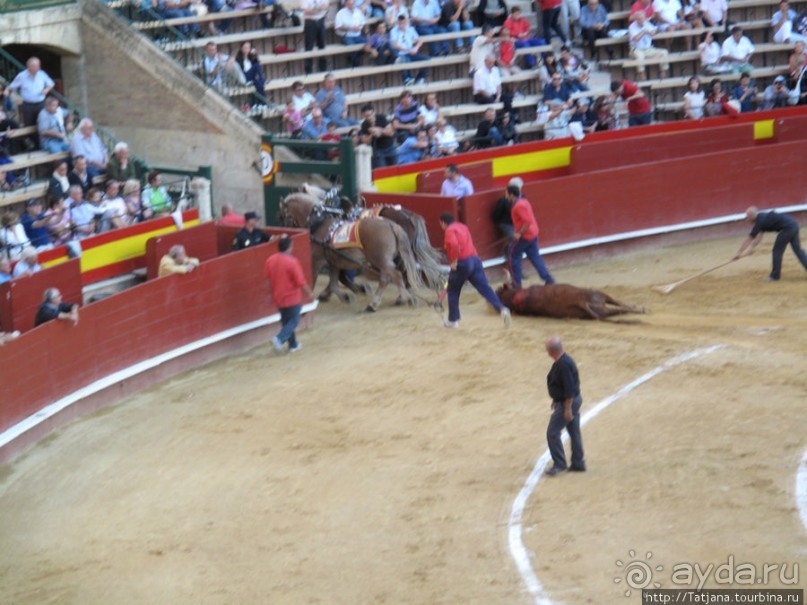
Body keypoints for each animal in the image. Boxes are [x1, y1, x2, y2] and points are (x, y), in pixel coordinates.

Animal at [280, 192, 426, 312]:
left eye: (282, 216)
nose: (288, 234)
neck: (320, 224)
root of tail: (391, 225)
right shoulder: (334, 263)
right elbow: (334, 283)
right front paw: (346, 295)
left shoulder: (316, 260)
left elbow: (317, 281)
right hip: (384, 260)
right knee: (390, 277)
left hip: (381, 260)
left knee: (396, 275)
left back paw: (397, 300)